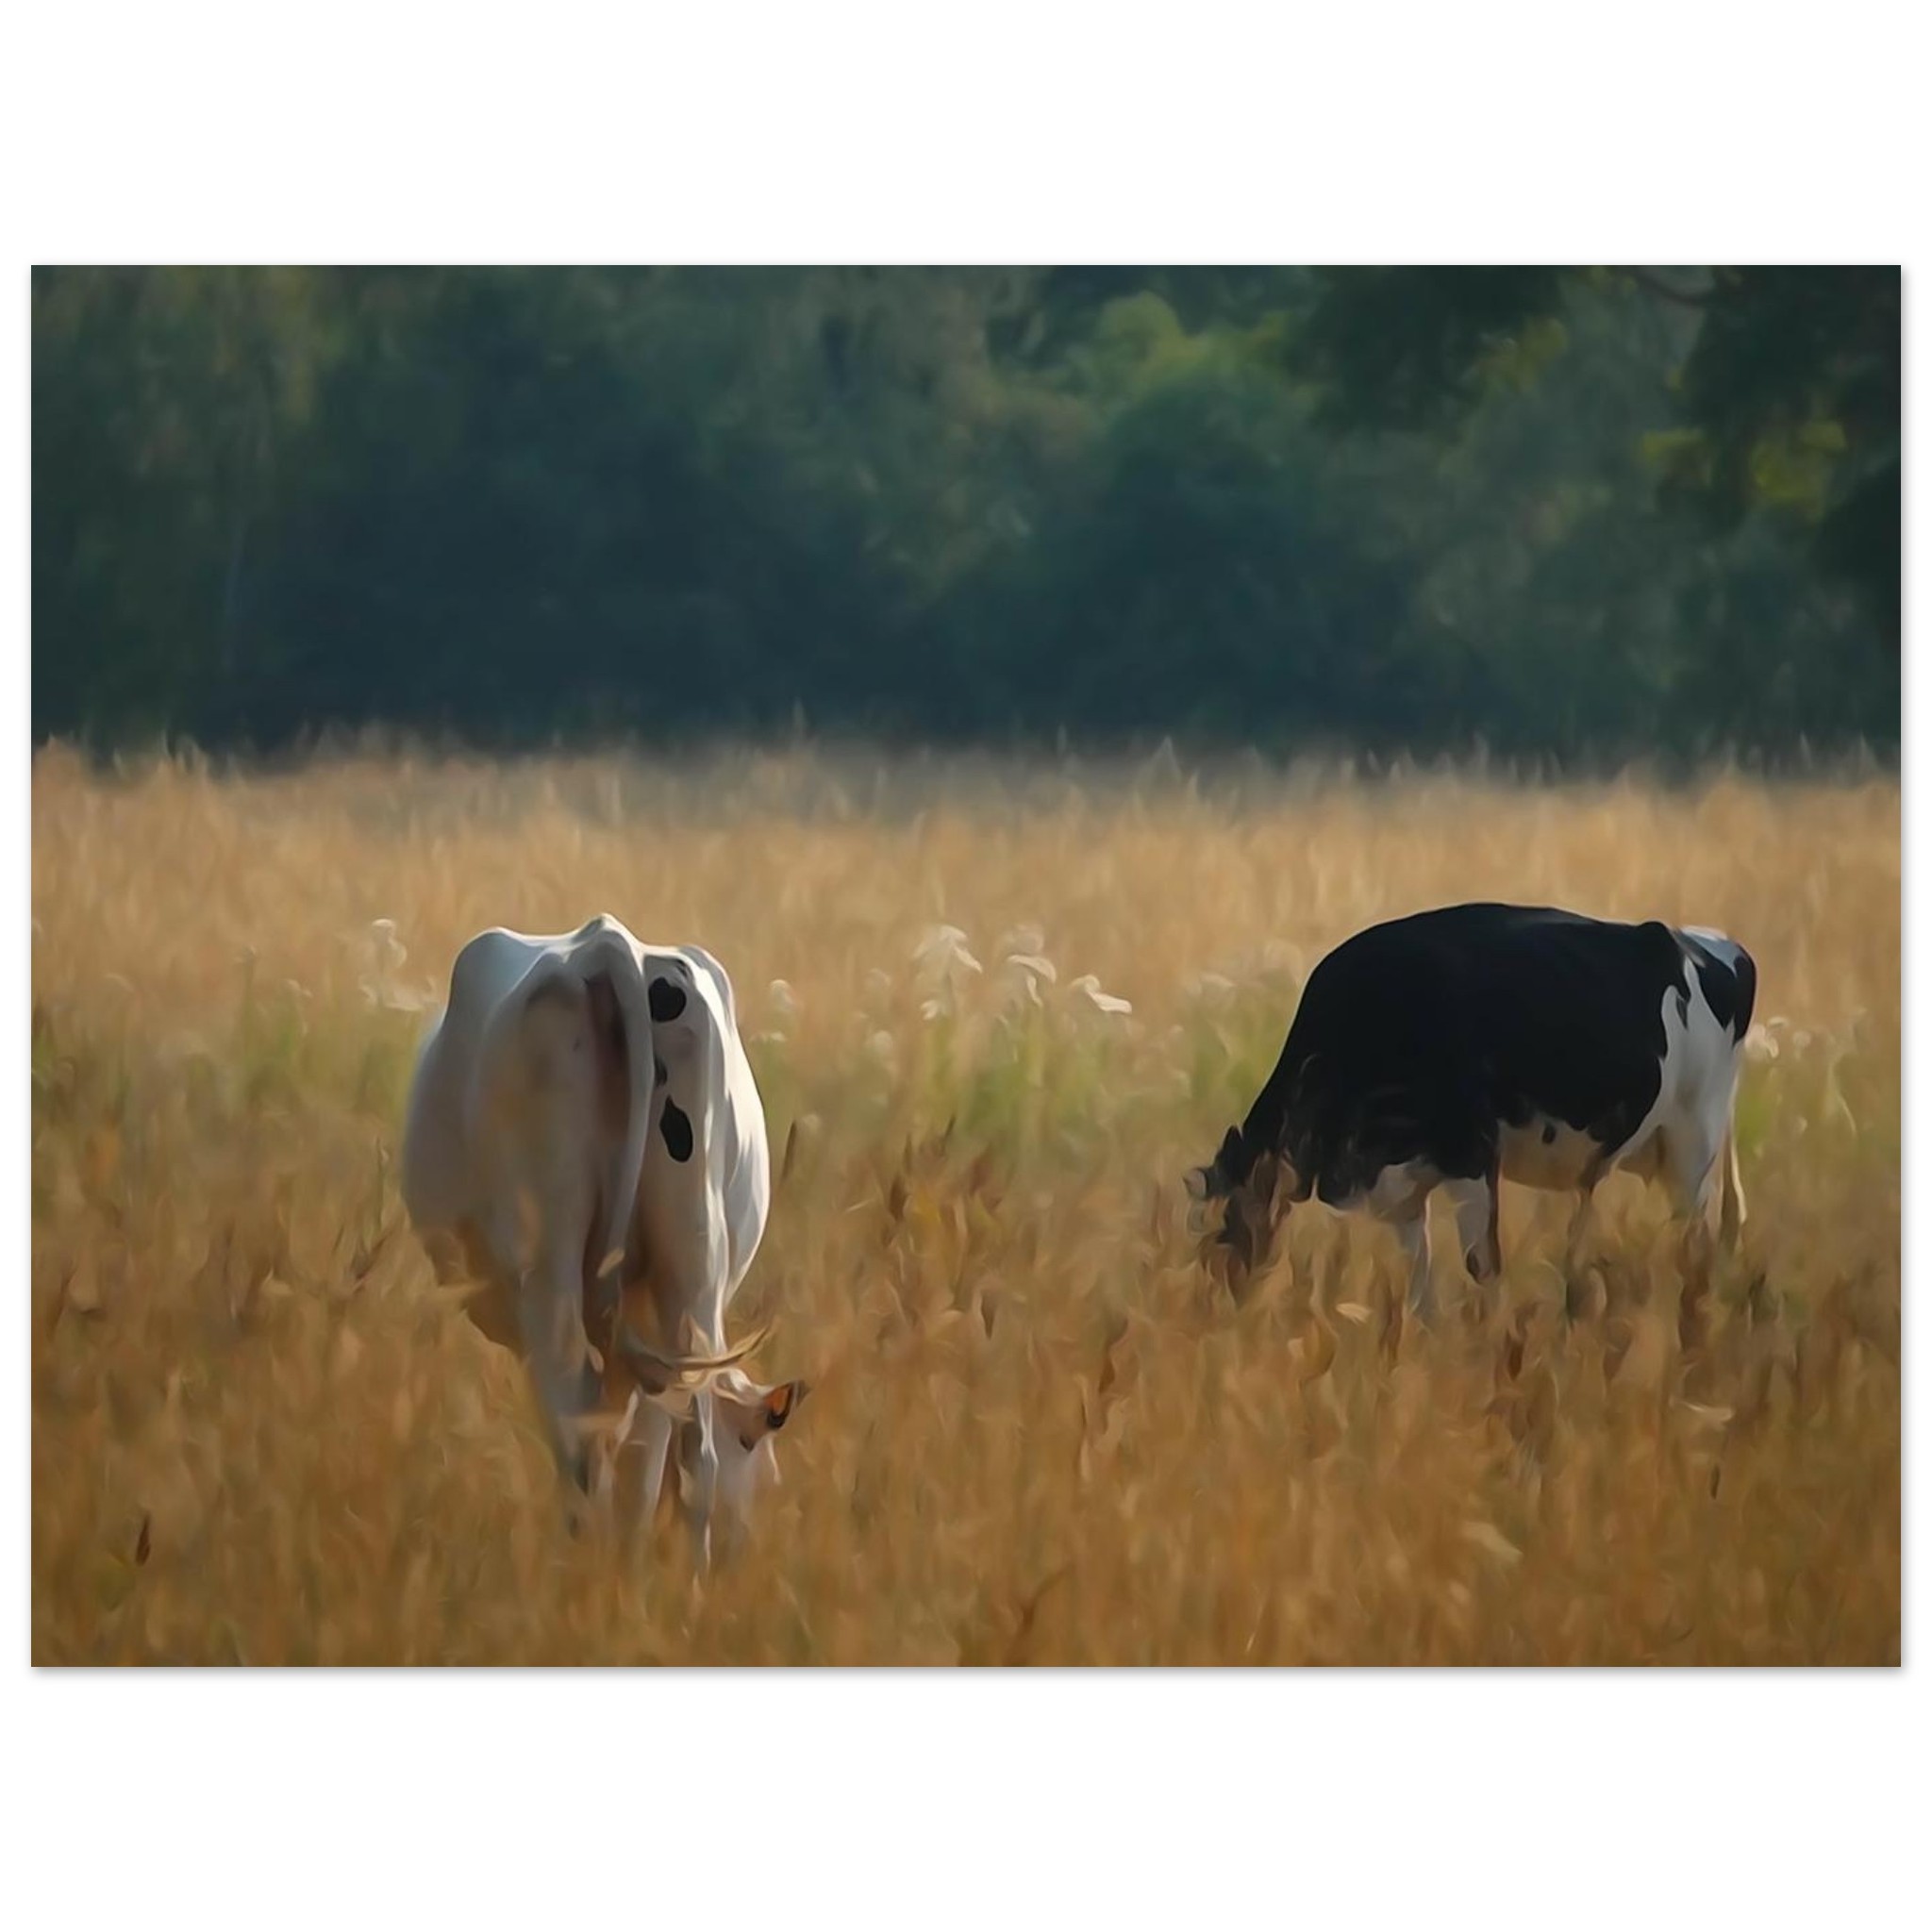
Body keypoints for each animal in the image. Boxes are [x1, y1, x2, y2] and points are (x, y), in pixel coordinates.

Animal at [399, 915, 804, 1563]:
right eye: (765, 1463)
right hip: (689, 1275)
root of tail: (609, 945)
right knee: (687, 1450)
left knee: (581, 1436)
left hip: (551, 1274)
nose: (741, 1554)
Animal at [1186, 904, 1756, 1315]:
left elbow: (1483, 1267)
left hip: (1693, 1146)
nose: (1218, 1324)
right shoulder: (1402, 1189)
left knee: (1695, 1247)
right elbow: (1418, 1289)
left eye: (1220, 1241)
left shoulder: (1472, 1157)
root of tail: (1706, 940)